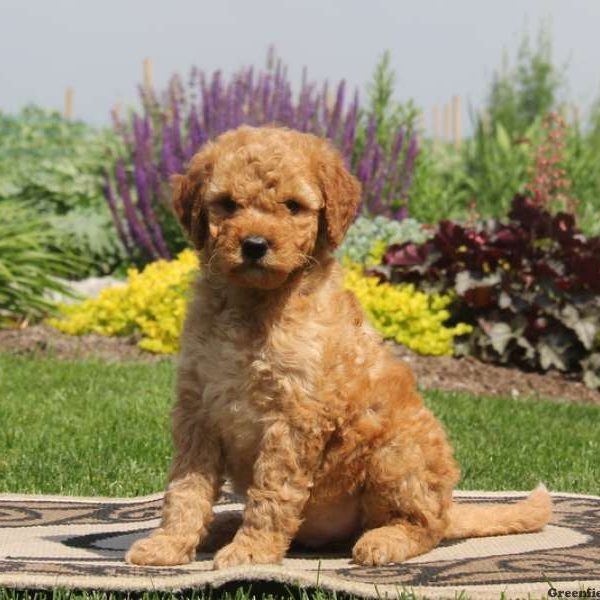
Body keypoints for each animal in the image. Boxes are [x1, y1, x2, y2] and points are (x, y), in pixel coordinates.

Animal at [126, 125, 552, 568]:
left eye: (293, 206)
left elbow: (271, 492)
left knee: (424, 524)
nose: (255, 244)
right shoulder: (197, 410)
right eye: (227, 204)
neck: (254, 305)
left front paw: (250, 551)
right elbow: (185, 486)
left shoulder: (294, 417)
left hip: (397, 454)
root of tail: (451, 507)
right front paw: (169, 543)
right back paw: (223, 526)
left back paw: (384, 541)